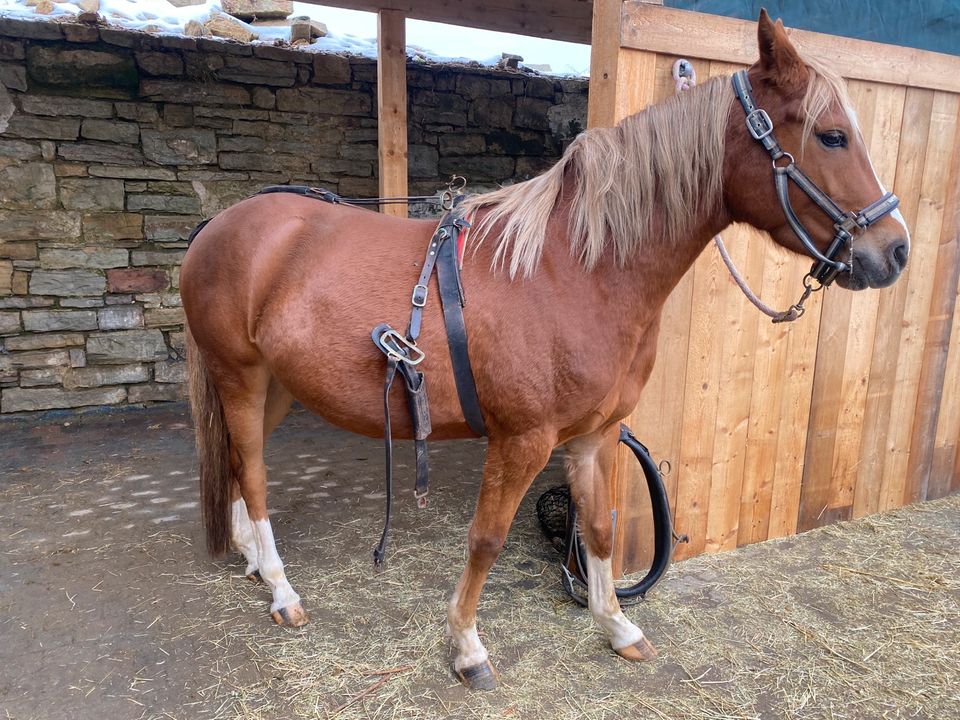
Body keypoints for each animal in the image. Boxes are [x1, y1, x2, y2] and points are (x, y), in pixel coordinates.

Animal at [182, 9, 908, 688]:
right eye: (832, 135)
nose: (895, 251)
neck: (576, 272)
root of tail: (219, 227)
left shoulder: (595, 436)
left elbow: (601, 530)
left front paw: (617, 625)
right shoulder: (522, 441)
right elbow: (487, 539)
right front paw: (466, 646)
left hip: (277, 385)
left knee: (243, 473)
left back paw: (257, 565)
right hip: (240, 377)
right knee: (253, 474)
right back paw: (282, 590)